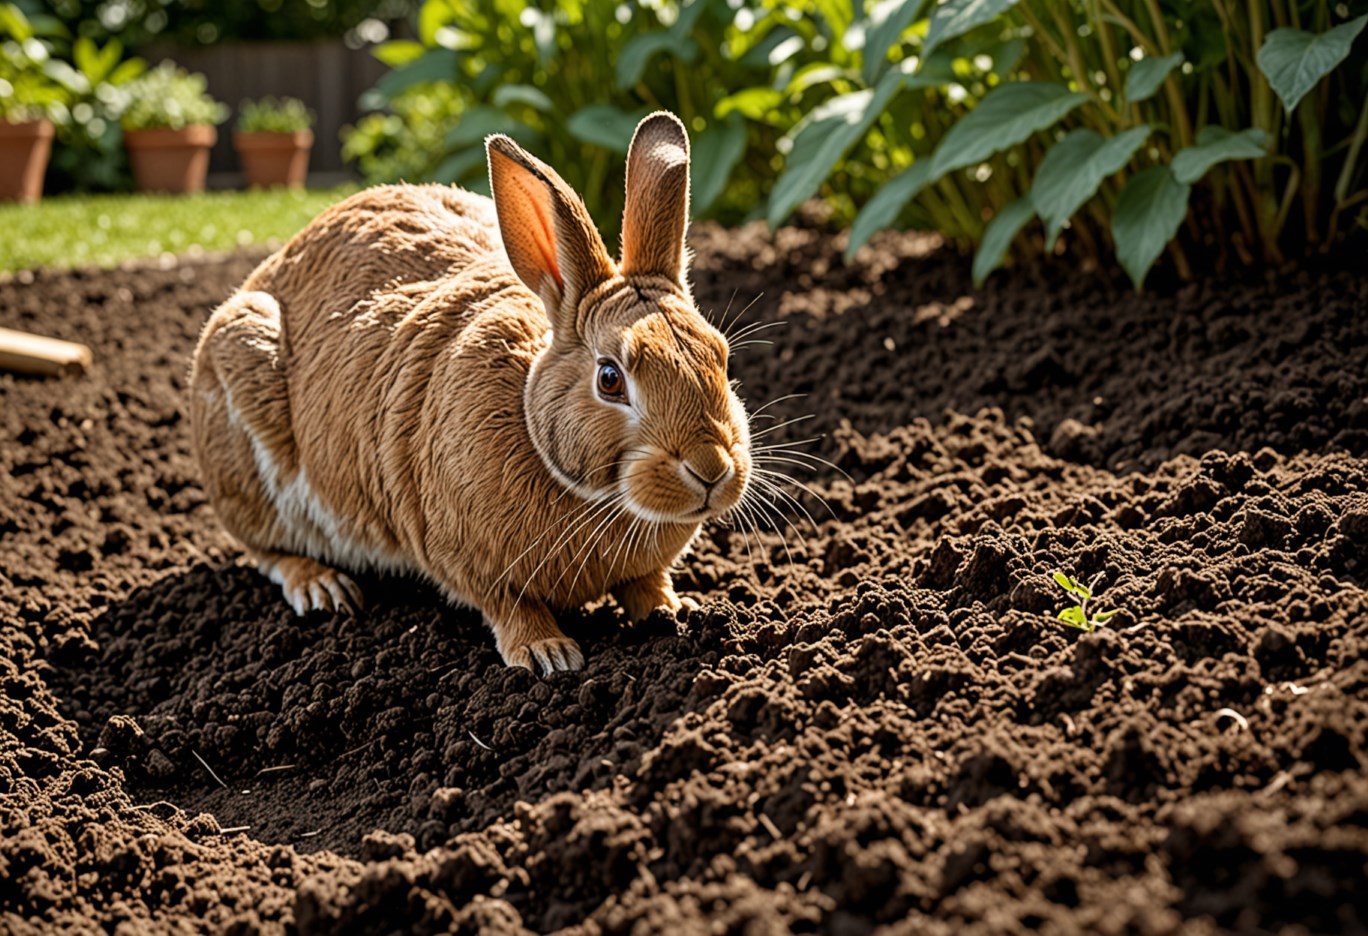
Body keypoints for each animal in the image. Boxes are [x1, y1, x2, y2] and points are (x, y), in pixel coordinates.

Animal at [188, 113, 755, 673]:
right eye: (611, 379)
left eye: (721, 355)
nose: (711, 469)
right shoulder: (472, 562)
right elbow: (510, 607)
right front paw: (548, 654)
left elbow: (647, 582)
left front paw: (675, 612)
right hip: (244, 425)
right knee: (266, 548)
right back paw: (322, 588)